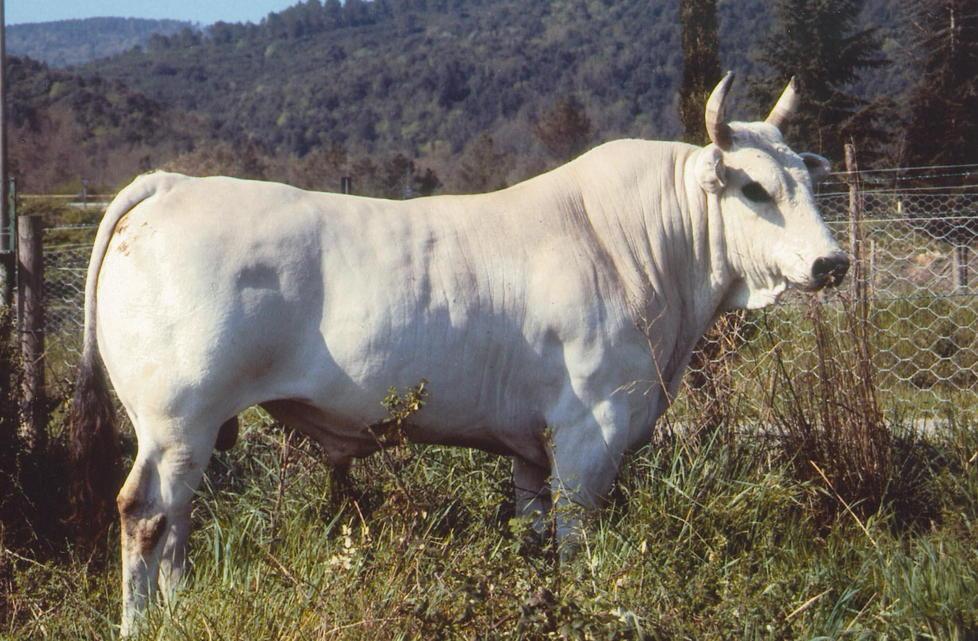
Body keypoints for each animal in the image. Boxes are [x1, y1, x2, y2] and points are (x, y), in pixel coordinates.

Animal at [69, 73, 848, 635]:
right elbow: (576, 542)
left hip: (190, 432)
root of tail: (173, 183)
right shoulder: (590, 432)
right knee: (147, 515)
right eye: (755, 188)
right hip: (177, 420)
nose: (831, 262)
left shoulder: (533, 449)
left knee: (178, 523)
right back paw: (143, 624)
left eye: (810, 182)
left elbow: (533, 538)